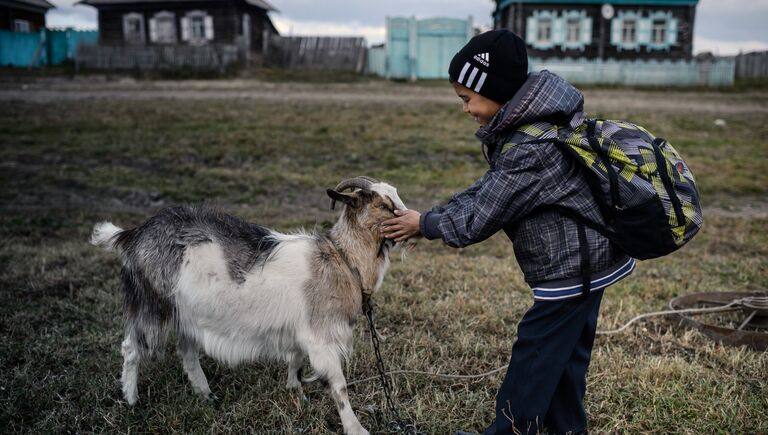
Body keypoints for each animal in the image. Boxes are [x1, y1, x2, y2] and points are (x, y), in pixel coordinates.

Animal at [90, 176, 408, 435]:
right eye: (383, 204)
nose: (410, 224)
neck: (341, 258)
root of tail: (131, 236)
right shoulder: (321, 336)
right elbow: (338, 385)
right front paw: (356, 428)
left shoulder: (300, 329)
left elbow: (295, 358)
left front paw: (295, 391)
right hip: (153, 304)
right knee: (131, 348)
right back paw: (132, 401)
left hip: (187, 314)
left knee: (187, 353)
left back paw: (206, 395)